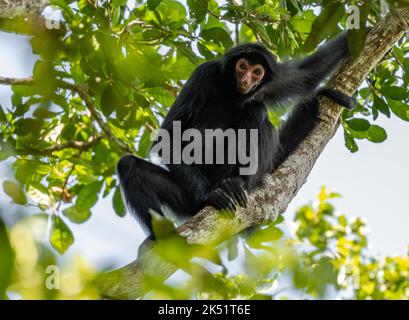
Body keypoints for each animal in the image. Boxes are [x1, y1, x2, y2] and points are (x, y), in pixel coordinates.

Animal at [116, 31, 356, 238]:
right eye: (242, 66)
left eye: (257, 72)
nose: (247, 80)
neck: (232, 92)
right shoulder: (203, 73)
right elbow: (167, 138)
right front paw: (208, 195)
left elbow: (308, 74)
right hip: (188, 198)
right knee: (129, 166)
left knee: (257, 109)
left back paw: (238, 183)